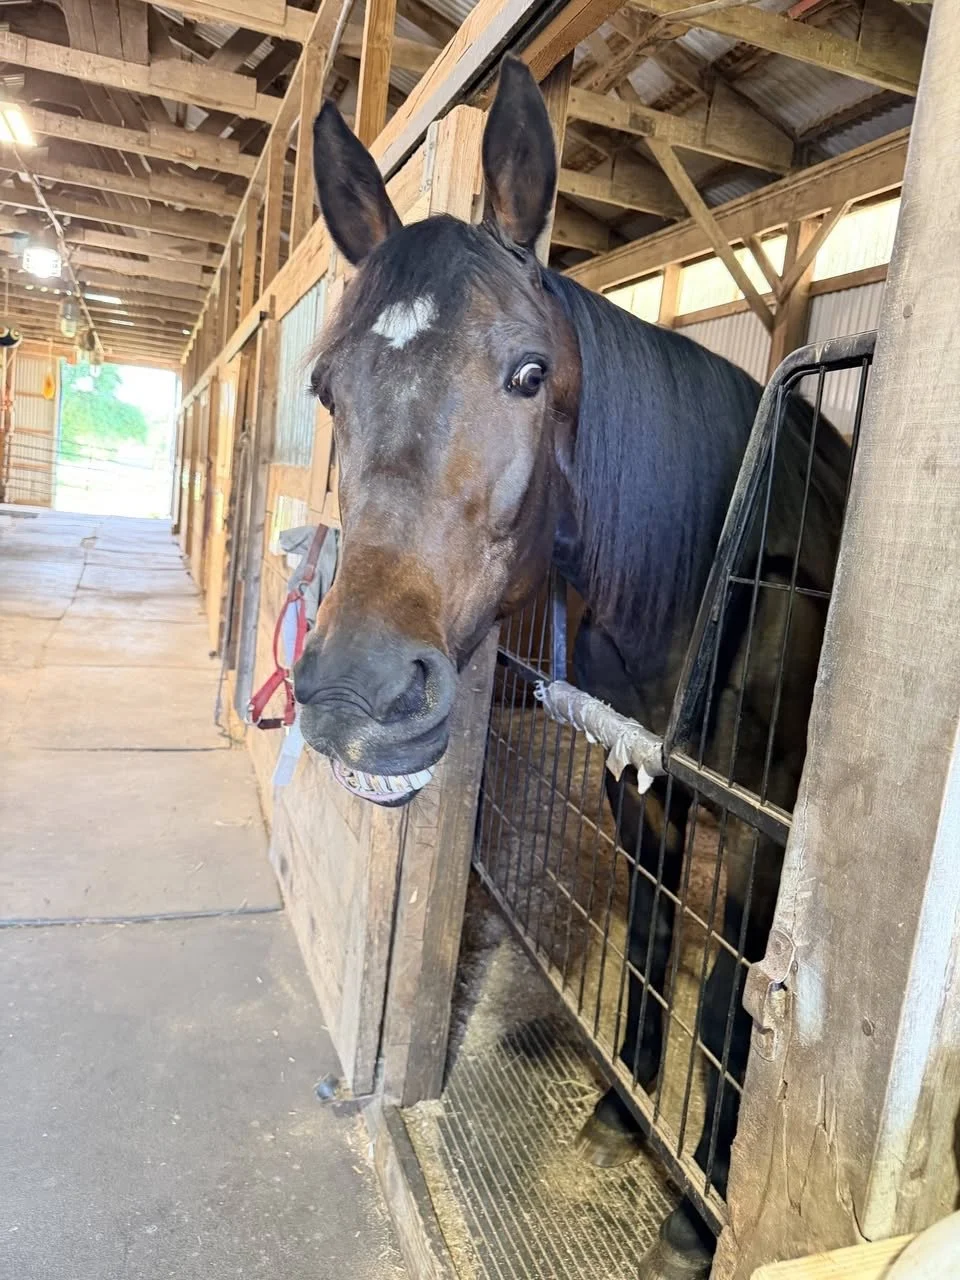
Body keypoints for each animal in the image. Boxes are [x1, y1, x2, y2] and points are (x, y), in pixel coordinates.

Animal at [293, 57, 850, 1278]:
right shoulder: (631, 771)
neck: (711, 578)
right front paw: (626, 1104)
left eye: (527, 372)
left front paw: (700, 1202)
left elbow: (735, 1003)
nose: (356, 694)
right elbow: (647, 931)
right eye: (325, 389)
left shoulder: (766, 827)